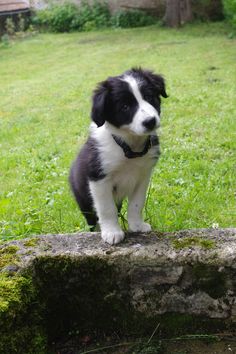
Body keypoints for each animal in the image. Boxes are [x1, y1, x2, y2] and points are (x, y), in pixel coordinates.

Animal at [69, 67, 167, 243]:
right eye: (125, 106)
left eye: (149, 97)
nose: (150, 121)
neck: (129, 148)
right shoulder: (98, 179)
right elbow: (107, 208)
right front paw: (112, 232)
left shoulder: (143, 176)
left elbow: (137, 204)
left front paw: (137, 225)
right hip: (83, 200)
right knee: (92, 219)